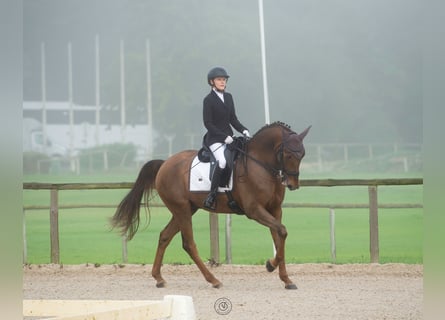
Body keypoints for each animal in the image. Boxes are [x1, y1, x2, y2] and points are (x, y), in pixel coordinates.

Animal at [110, 121, 308, 288]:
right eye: (288, 154)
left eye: (302, 154)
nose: (293, 184)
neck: (260, 164)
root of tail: (165, 164)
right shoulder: (254, 210)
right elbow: (281, 231)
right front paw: (270, 265)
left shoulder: (275, 209)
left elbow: (279, 236)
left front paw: (286, 278)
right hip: (181, 209)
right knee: (188, 244)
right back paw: (213, 280)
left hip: (187, 209)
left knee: (165, 236)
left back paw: (158, 278)